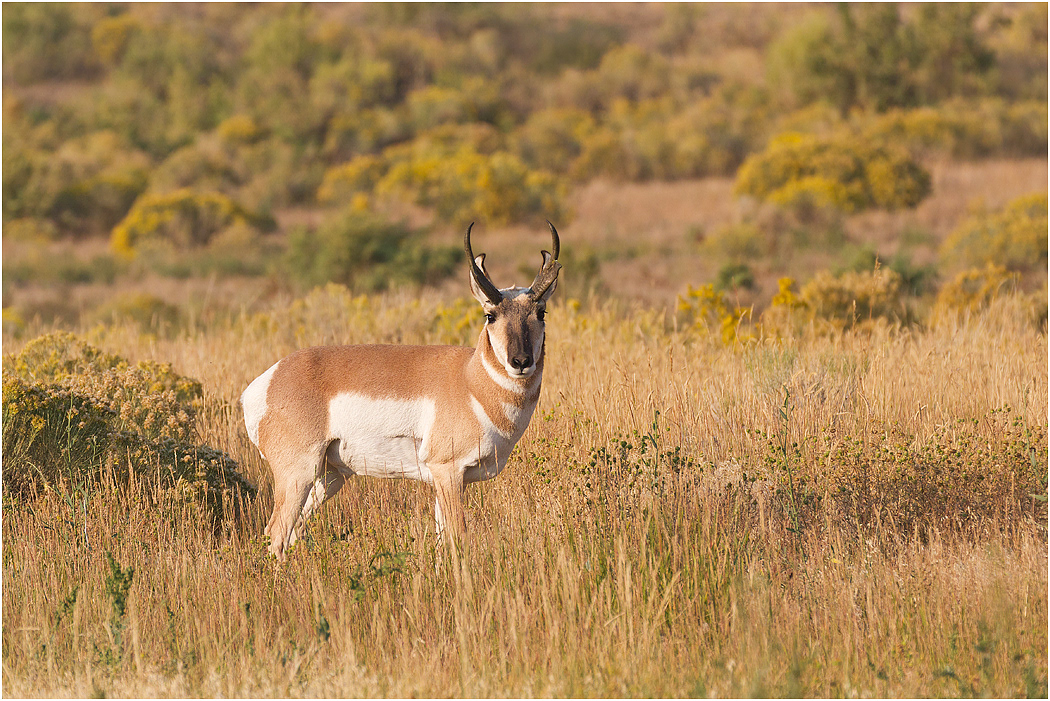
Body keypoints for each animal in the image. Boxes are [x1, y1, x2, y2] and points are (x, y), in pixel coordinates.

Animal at [241, 222, 562, 558]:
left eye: (541, 312)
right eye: (491, 315)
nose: (521, 361)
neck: (470, 379)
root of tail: (267, 381)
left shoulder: (447, 481)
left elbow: (442, 540)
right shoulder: (448, 472)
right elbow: (458, 537)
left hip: (329, 477)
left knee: (293, 531)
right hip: (298, 473)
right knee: (277, 532)